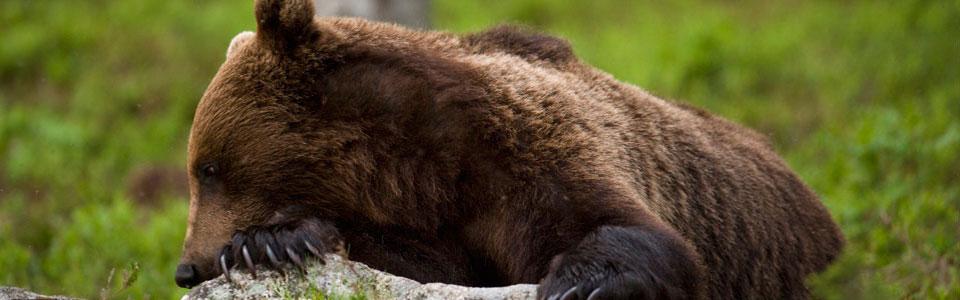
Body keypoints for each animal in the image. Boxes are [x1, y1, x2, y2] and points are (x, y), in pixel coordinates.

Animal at [174, 1, 848, 298]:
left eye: (208, 168)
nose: (186, 267)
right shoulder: (449, 223)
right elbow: (427, 267)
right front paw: (277, 239)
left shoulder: (532, 156)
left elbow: (629, 230)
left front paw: (577, 283)